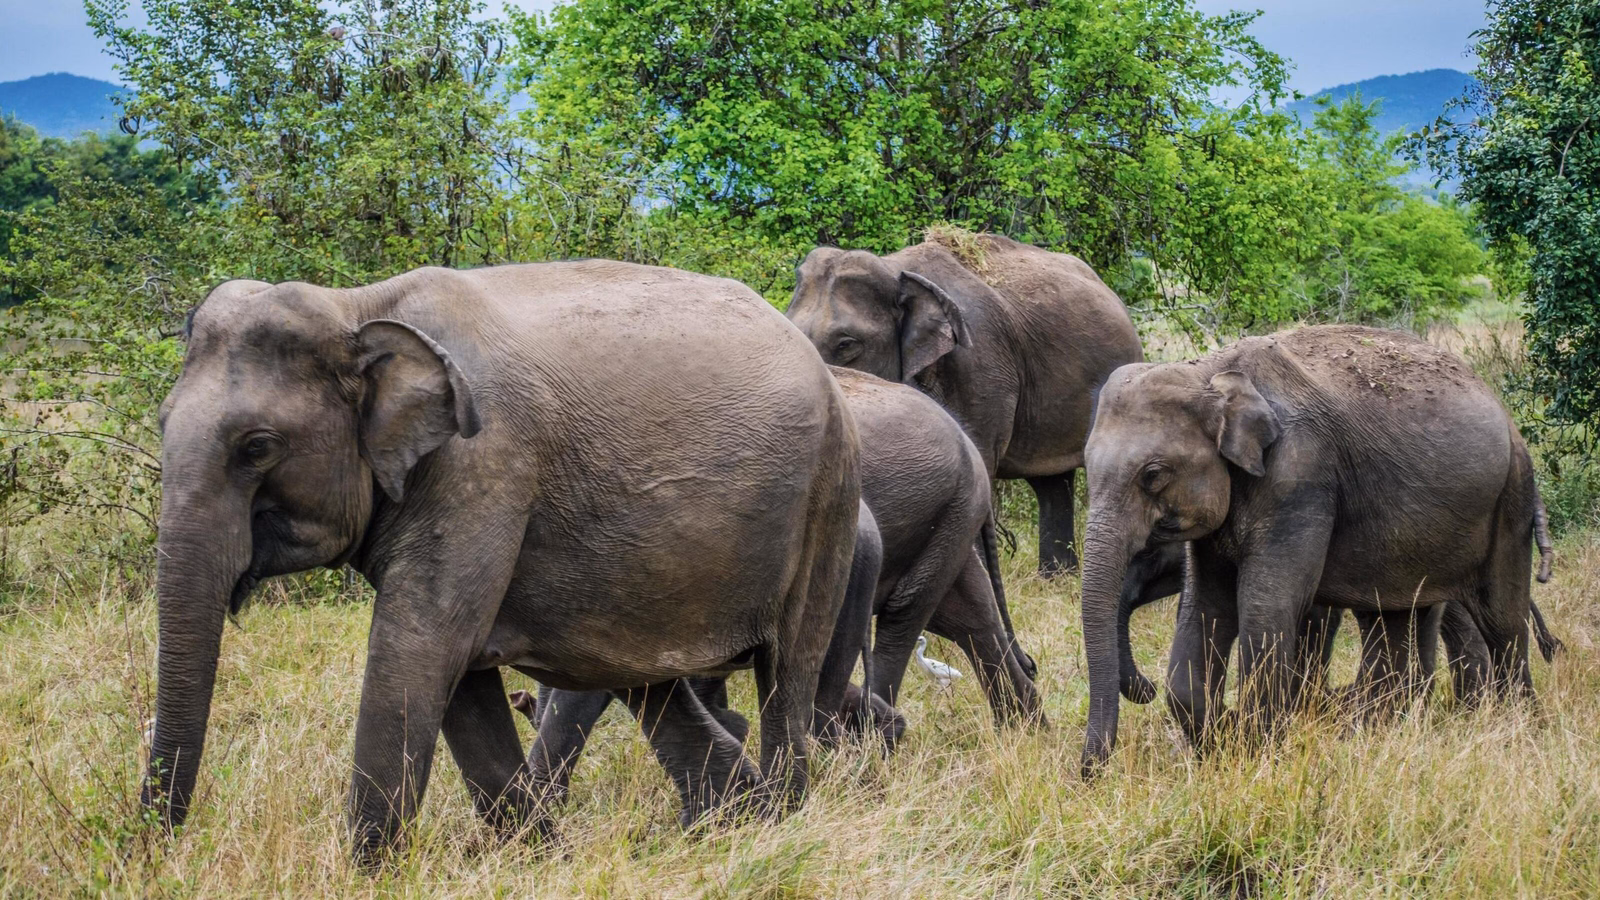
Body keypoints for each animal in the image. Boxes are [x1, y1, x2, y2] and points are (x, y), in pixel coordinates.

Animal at [143, 261, 862, 865]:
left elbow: (420, 649)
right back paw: (734, 825)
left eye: (257, 447)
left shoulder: (482, 467)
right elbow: (459, 684)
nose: (157, 855)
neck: (359, 306)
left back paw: (781, 827)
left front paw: (367, 876)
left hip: (827, 502)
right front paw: (544, 863)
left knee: (787, 675)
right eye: (161, 421)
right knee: (648, 683)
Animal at [523, 367, 1046, 805]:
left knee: (904, 618)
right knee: (968, 616)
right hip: (951, 516)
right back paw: (1023, 731)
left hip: (943, 513)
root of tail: (965, 439)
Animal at [786, 231, 1143, 577]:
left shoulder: (981, 366)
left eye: (846, 345)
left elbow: (978, 461)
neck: (896, 270)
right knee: (1053, 484)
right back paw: (1056, 577)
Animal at [1077, 325, 1549, 776]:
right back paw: (1377, 731)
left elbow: (1266, 605)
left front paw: (1256, 755)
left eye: (1153, 475)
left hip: (1511, 497)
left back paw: (1516, 729)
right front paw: (1224, 744)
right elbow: (1209, 605)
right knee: (1395, 617)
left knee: (1502, 620)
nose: (1089, 775)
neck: (1209, 372)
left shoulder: (1301, 475)